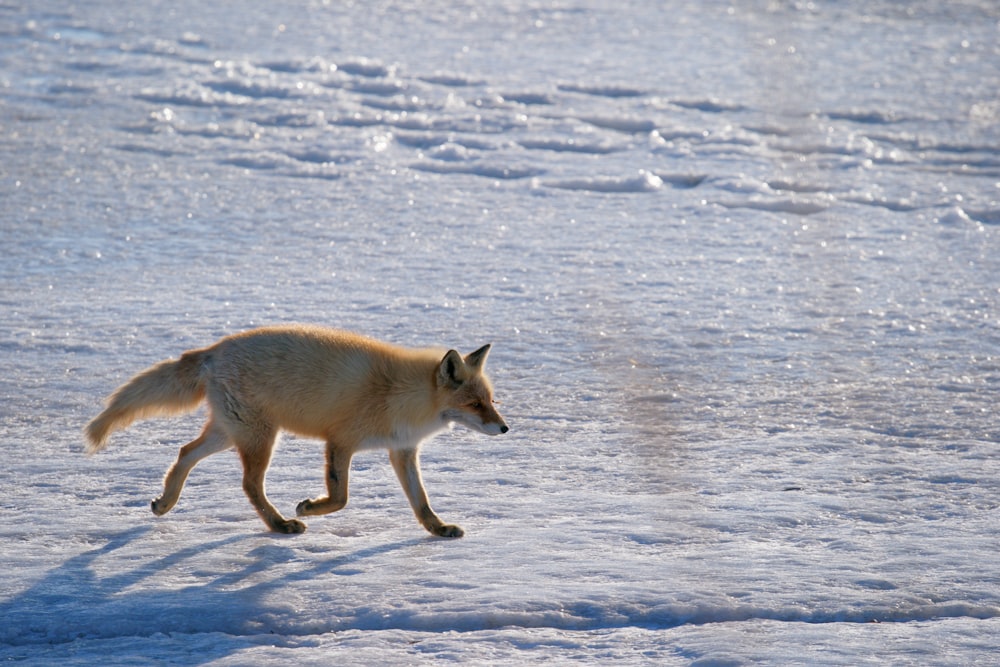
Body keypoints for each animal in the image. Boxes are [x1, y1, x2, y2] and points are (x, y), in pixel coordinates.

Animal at [84, 326, 508, 540]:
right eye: (475, 405)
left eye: (490, 400)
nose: (505, 428)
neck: (401, 394)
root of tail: (215, 349)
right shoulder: (340, 441)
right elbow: (340, 498)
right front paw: (308, 507)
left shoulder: (402, 450)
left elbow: (421, 502)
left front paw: (438, 529)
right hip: (260, 437)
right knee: (249, 485)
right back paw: (279, 525)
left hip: (231, 432)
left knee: (184, 451)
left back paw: (166, 502)